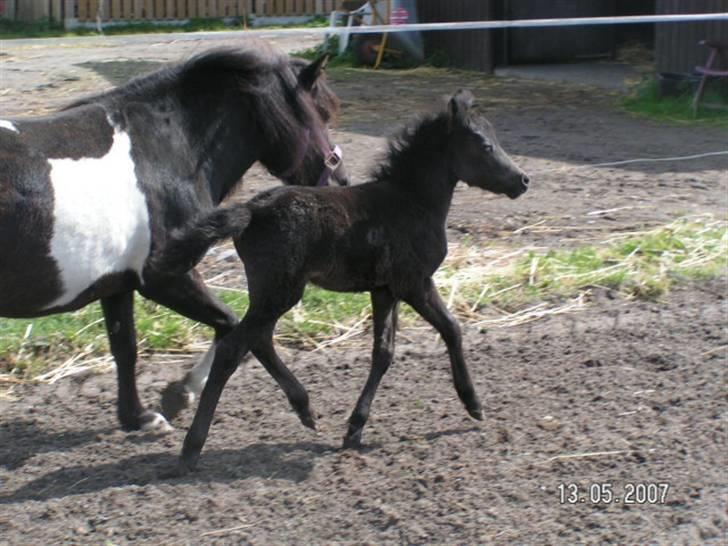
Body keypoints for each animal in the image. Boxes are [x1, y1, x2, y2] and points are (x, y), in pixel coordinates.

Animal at [0, 42, 346, 432]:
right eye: (321, 114)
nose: (342, 182)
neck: (165, 151)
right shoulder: (165, 277)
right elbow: (233, 325)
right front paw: (181, 394)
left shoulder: (118, 283)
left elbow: (125, 347)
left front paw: (138, 417)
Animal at [154, 90, 528, 472]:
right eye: (484, 145)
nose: (522, 180)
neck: (412, 200)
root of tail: (252, 211)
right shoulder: (414, 282)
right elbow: (452, 329)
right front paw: (473, 403)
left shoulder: (384, 289)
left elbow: (383, 352)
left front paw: (354, 429)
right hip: (280, 291)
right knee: (234, 347)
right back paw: (191, 449)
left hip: (272, 292)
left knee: (258, 341)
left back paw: (305, 409)